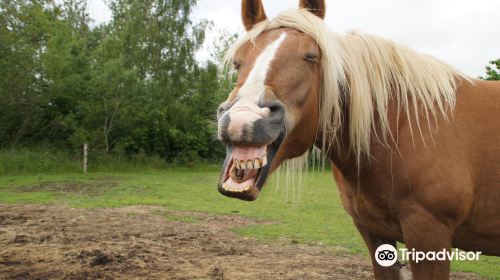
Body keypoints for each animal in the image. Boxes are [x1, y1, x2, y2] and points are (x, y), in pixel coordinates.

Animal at [215, 1, 500, 278]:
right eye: (238, 62)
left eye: (311, 57)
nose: (242, 120)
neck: (403, 126)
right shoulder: (373, 231)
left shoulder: (429, 235)